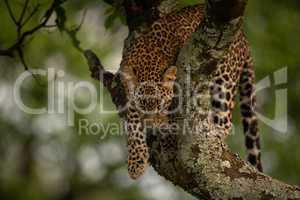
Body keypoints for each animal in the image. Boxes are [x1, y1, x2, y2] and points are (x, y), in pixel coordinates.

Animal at [119, 3, 262, 179]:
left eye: (162, 105)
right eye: (142, 106)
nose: (152, 127)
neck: (149, 54)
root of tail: (243, 38)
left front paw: (168, 141)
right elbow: (133, 123)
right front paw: (136, 162)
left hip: (225, 78)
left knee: (225, 119)